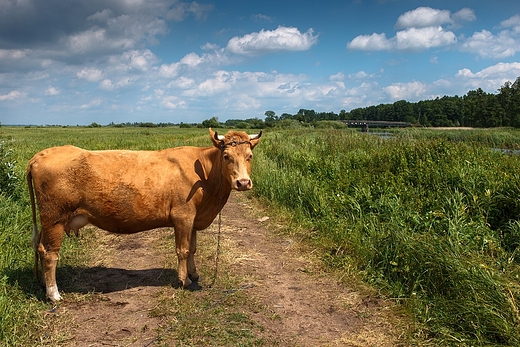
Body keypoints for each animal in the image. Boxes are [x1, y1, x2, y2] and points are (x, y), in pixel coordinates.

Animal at [25, 129, 260, 304]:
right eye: (226, 157)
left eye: (249, 156)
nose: (243, 182)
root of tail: (41, 154)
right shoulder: (183, 216)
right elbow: (183, 250)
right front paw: (183, 281)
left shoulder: (194, 218)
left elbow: (192, 248)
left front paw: (193, 274)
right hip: (54, 218)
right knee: (49, 254)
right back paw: (53, 294)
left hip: (47, 222)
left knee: (40, 248)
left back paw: (44, 285)